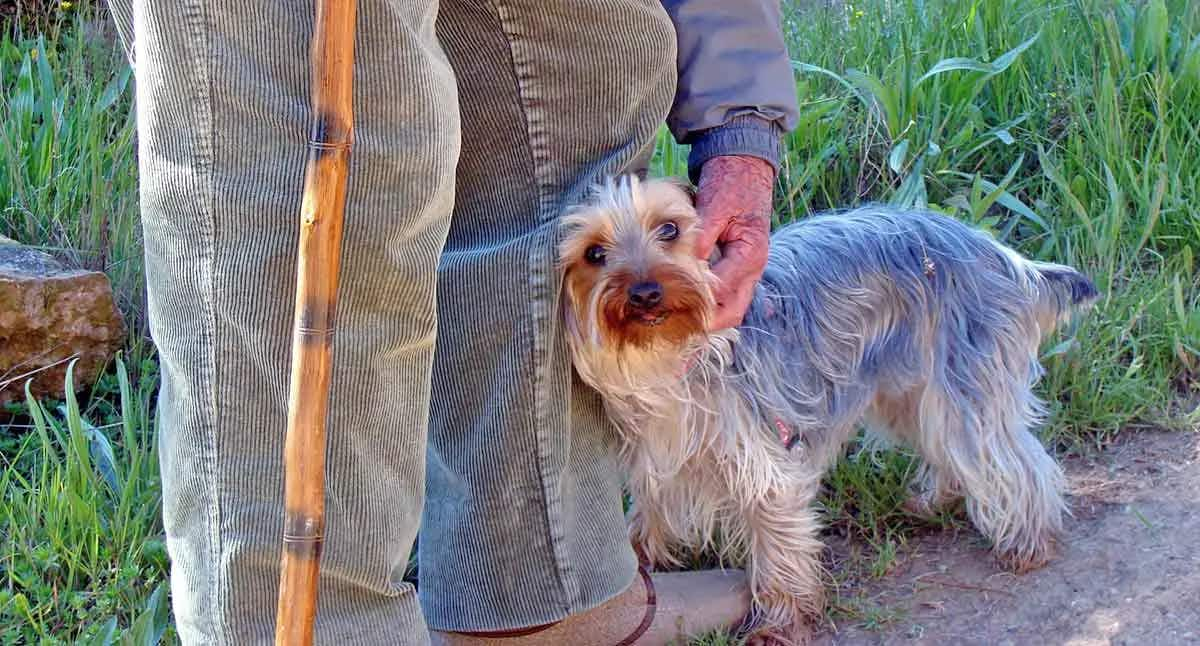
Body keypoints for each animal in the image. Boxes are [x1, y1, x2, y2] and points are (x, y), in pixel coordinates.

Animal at [556, 175, 1099, 638]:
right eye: (594, 253)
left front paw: (779, 622)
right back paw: (931, 500)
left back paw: (1028, 542)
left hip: (964, 376)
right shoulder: (658, 453)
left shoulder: (764, 457)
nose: (646, 292)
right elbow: (649, 510)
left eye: (669, 229)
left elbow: (777, 540)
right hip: (908, 388)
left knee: (1011, 457)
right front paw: (639, 562)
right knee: (947, 444)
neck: (666, 355)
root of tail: (1004, 258)